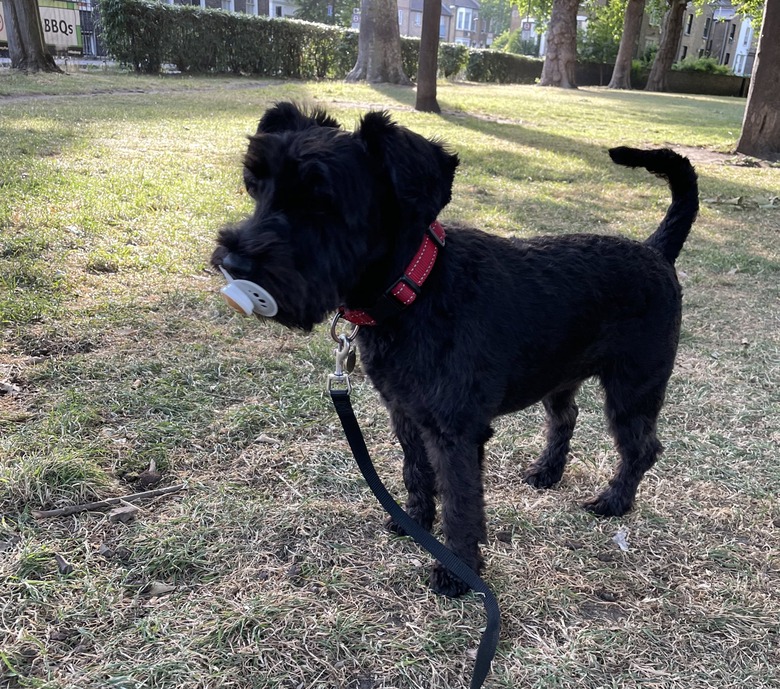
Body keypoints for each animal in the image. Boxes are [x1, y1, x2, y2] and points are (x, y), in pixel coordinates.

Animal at [210, 102, 696, 596]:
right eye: (257, 186)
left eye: (321, 201)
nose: (233, 262)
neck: (415, 290)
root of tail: (656, 251)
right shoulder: (406, 411)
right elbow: (416, 471)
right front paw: (414, 523)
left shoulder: (455, 431)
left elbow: (462, 502)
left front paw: (456, 569)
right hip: (559, 376)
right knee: (566, 417)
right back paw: (547, 472)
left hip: (633, 387)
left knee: (641, 447)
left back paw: (614, 501)